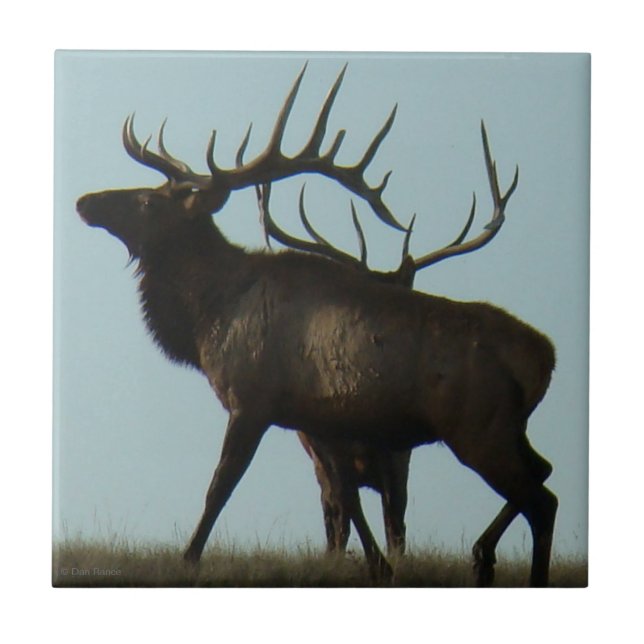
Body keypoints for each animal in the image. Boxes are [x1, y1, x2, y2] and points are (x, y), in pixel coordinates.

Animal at [76, 64, 557, 586]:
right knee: (544, 474)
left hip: (478, 426)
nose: (85, 201)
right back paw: (484, 555)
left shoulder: (251, 400)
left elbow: (220, 486)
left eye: (148, 201)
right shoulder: (316, 419)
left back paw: (501, 562)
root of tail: (545, 355)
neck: (208, 317)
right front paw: (378, 566)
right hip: (507, 428)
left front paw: (188, 558)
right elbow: (344, 499)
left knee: (541, 498)